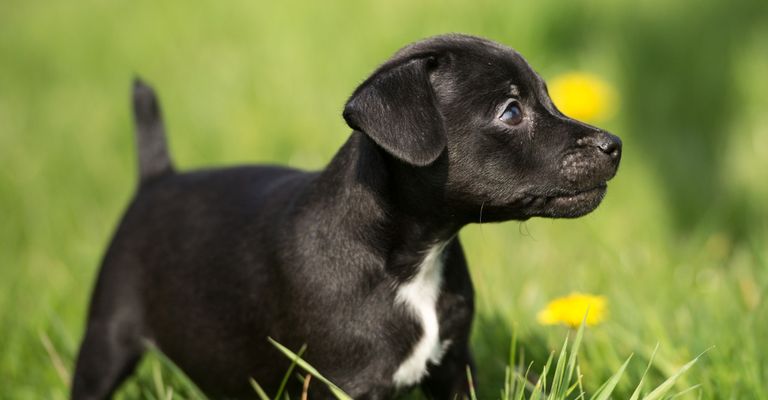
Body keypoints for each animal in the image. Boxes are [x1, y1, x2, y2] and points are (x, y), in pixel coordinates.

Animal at [72, 35, 620, 400]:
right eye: (510, 111)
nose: (613, 145)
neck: (411, 261)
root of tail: (157, 178)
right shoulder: (343, 384)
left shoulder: (452, 368)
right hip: (106, 337)